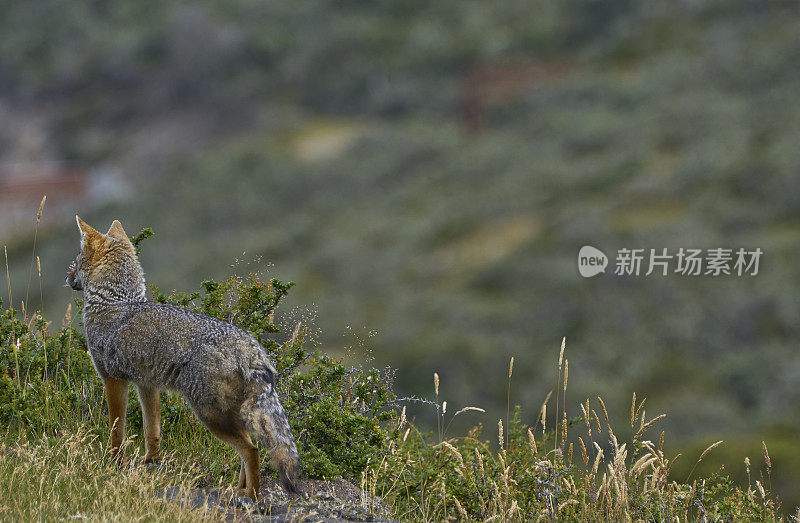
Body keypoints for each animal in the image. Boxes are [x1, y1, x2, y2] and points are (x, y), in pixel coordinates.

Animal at [65, 217, 302, 500]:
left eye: (75, 261)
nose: (66, 278)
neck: (114, 302)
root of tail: (248, 345)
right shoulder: (147, 384)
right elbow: (152, 430)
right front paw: (151, 461)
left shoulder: (113, 379)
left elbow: (116, 430)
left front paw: (114, 463)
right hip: (228, 415)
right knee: (249, 446)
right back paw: (239, 488)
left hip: (210, 416)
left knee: (252, 450)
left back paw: (251, 495)